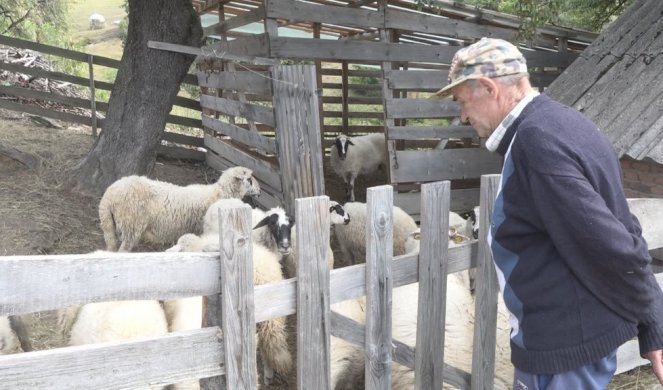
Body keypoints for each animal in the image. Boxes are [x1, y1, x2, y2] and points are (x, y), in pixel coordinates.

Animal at [98, 165, 260, 253]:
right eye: (249, 179)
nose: (260, 191)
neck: (220, 193)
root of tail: (108, 196)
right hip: (131, 224)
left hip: (109, 226)